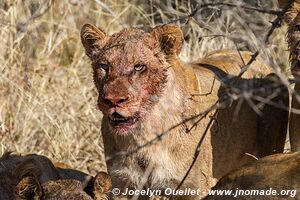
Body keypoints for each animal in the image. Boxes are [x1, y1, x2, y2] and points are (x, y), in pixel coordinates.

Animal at [81, 23, 290, 198]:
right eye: (104, 66)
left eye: (139, 67)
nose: (112, 100)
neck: (145, 134)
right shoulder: (123, 184)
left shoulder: (192, 187)